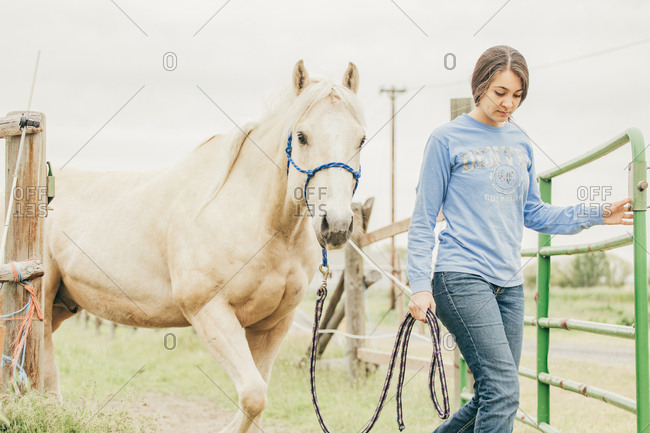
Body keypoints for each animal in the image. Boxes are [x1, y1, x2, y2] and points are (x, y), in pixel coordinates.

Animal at [43, 60, 365, 433]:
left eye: (361, 138)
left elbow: (257, 399)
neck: (262, 223)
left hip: (63, 304)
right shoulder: (210, 312)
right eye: (302, 136)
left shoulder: (272, 324)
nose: (336, 225)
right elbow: (253, 395)